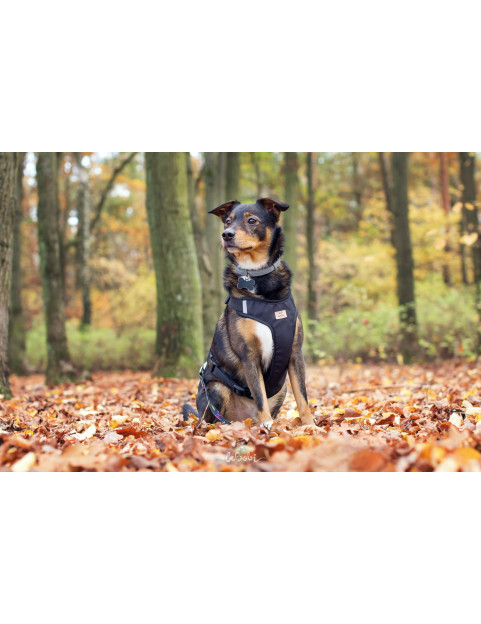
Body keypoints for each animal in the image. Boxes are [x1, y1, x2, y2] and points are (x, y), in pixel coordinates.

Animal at [183, 197, 315, 430]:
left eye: (251, 220)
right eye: (227, 221)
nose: (226, 235)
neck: (256, 275)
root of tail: (243, 420)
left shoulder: (294, 351)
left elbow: (302, 396)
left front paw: (310, 426)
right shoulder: (249, 356)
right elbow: (259, 395)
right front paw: (268, 426)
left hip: (281, 388)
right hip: (216, 389)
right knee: (208, 421)